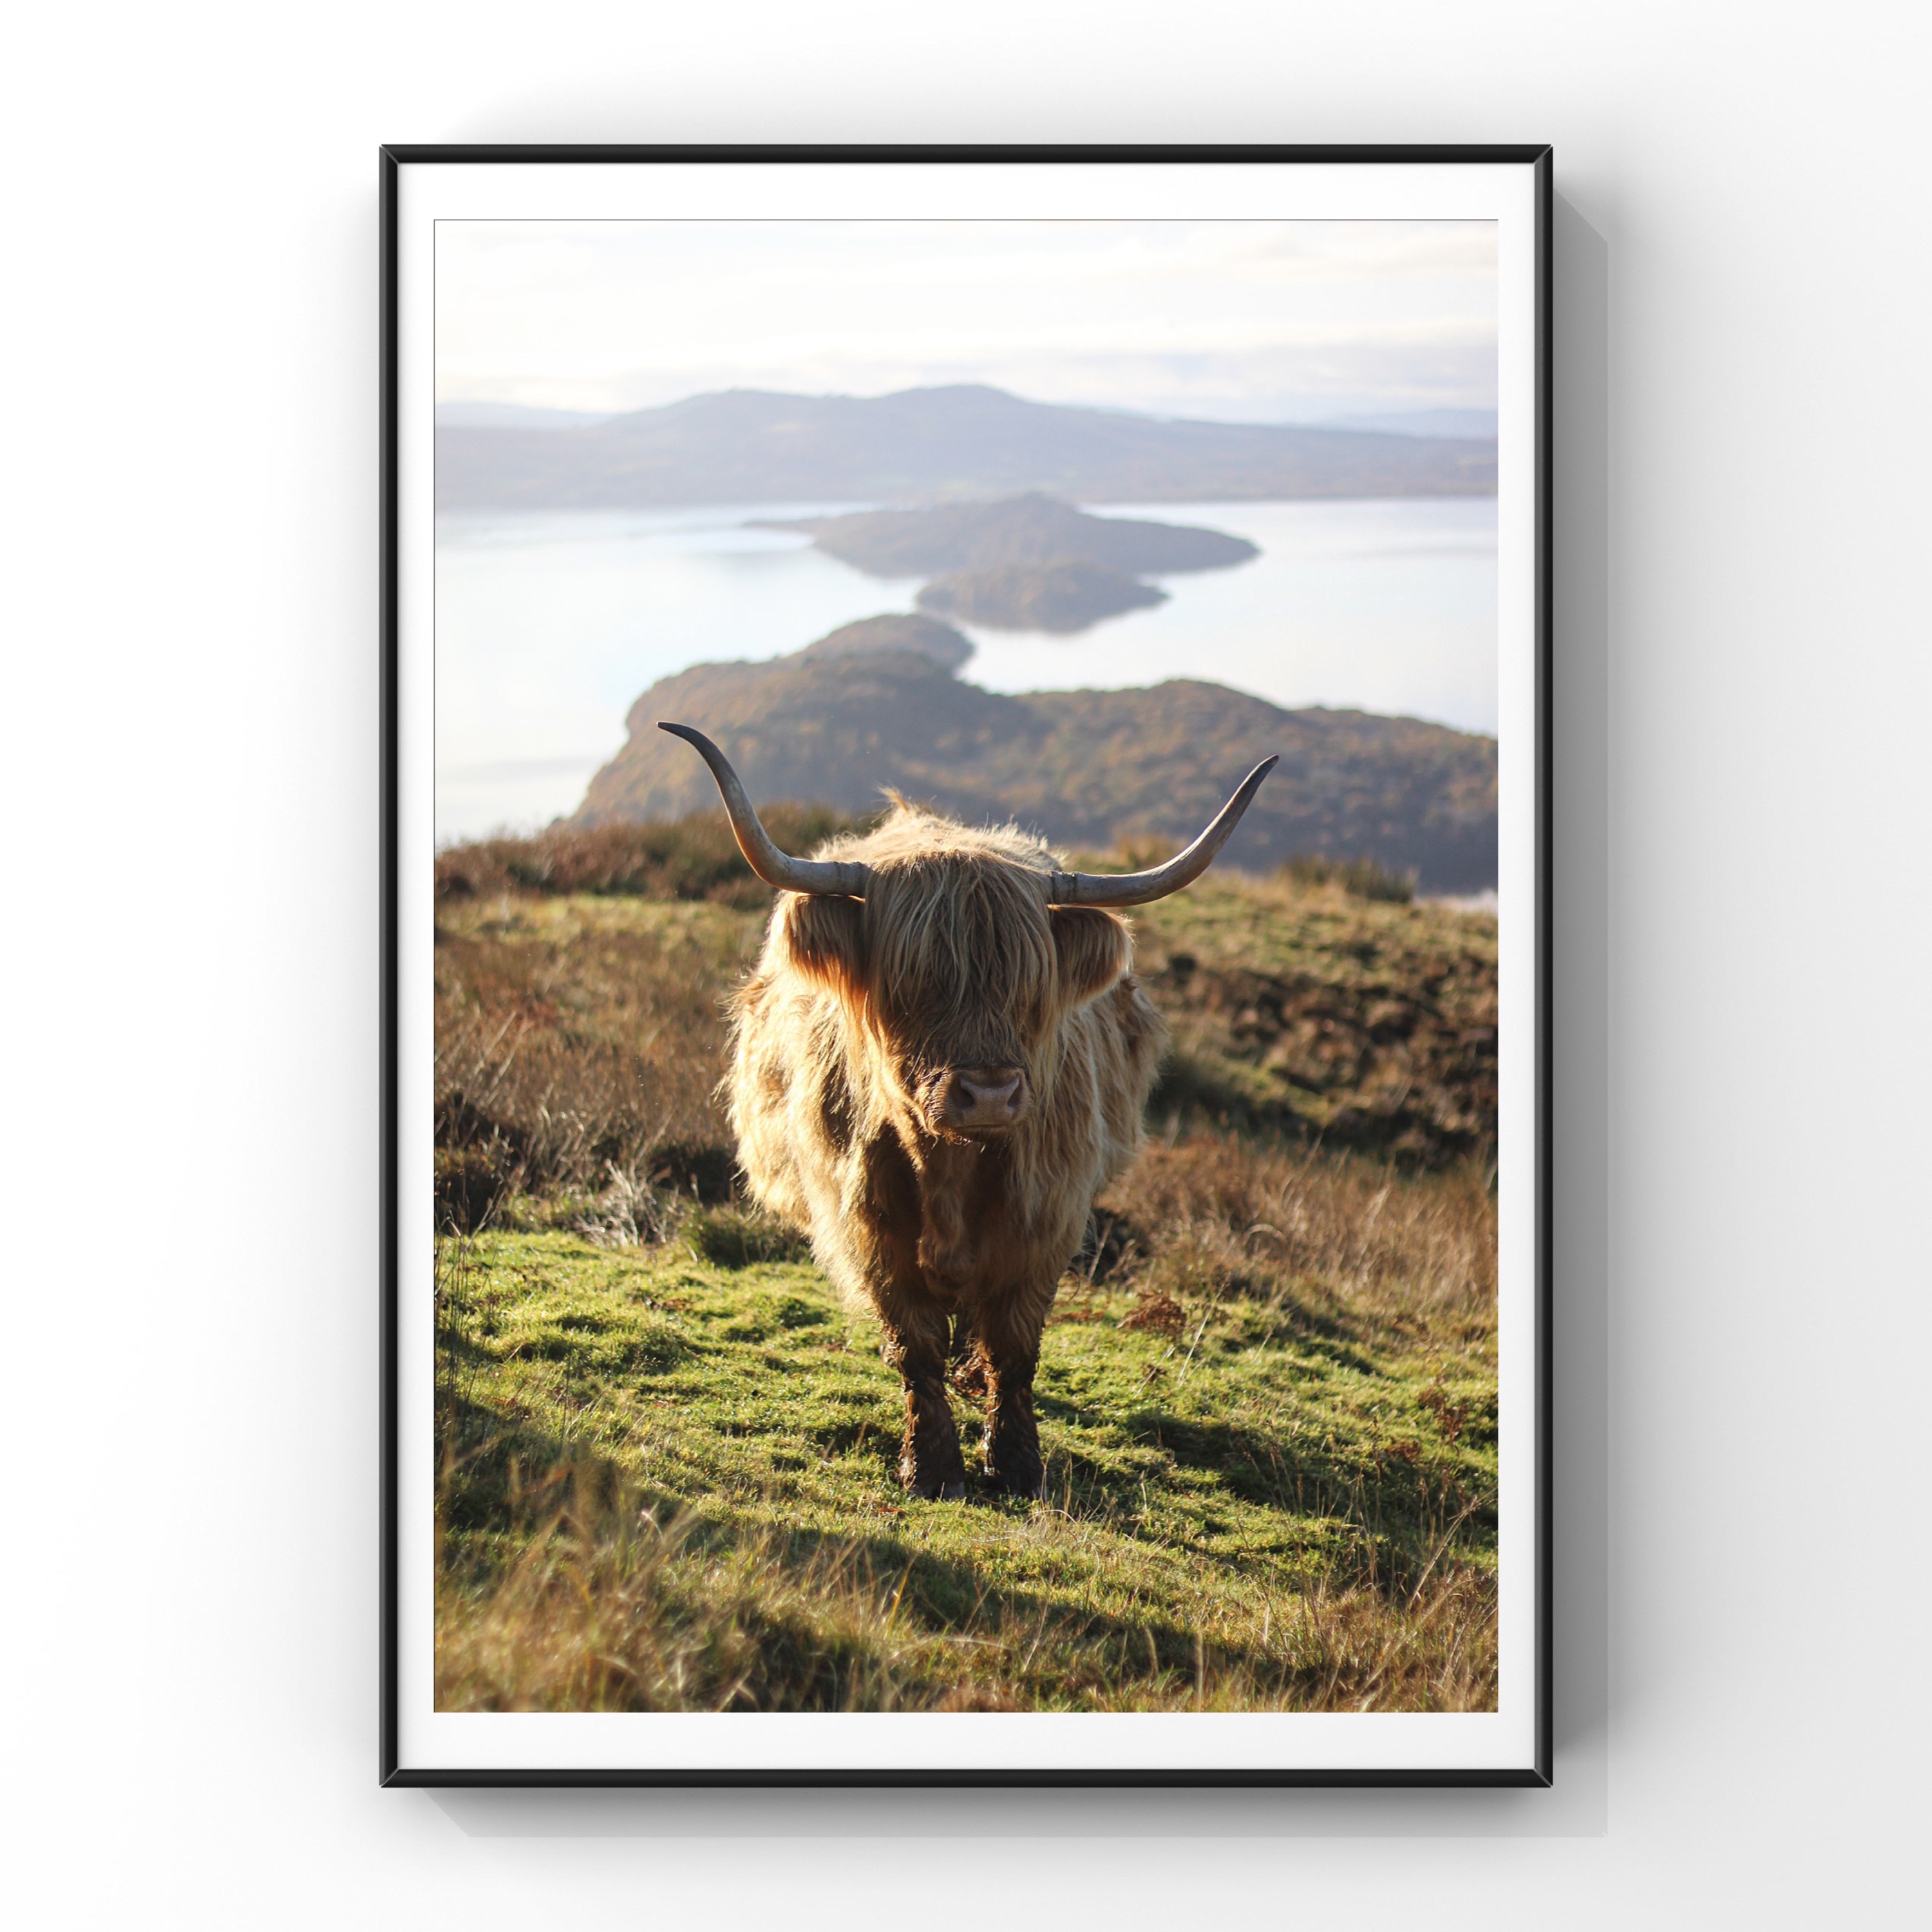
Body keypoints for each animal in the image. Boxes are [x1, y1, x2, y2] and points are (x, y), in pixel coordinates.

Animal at [660, 722, 1276, 1501]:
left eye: (1031, 986)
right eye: (913, 981)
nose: (987, 1094)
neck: (948, 1166)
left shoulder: (1047, 1222)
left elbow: (1014, 1347)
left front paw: (1014, 1464)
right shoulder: (872, 1234)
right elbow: (914, 1348)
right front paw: (932, 1467)